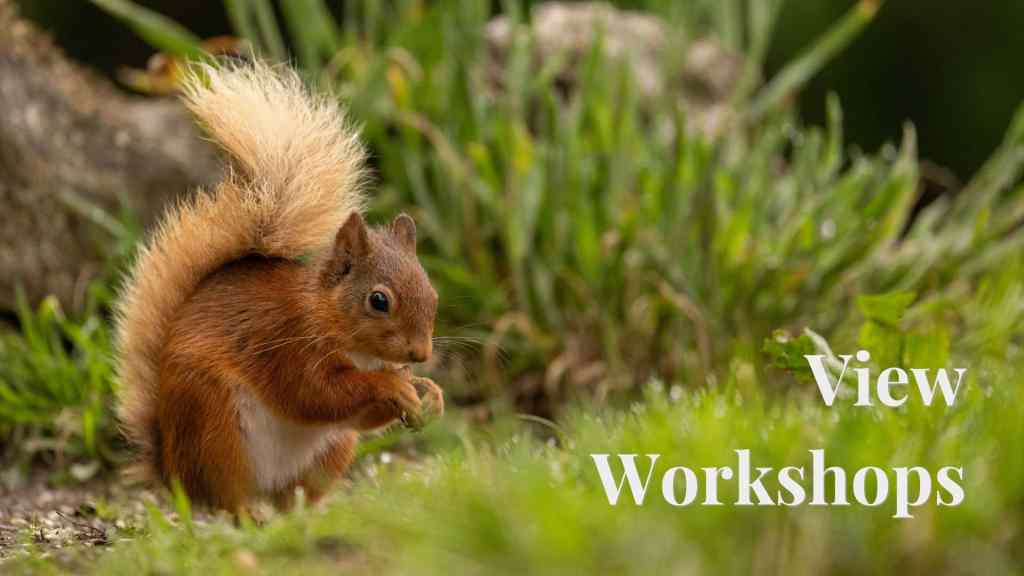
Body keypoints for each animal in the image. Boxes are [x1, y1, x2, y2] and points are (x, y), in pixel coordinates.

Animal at [113, 61, 442, 514]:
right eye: (378, 300)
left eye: (433, 295)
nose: (421, 354)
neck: (328, 316)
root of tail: (173, 474)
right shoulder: (287, 345)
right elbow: (317, 395)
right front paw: (394, 386)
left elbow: (357, 415)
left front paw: (429, 393)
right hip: (215, 426)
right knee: (228, 501)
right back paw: (249, 515)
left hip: (332, 449)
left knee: (292, 498)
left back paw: (303, 517)